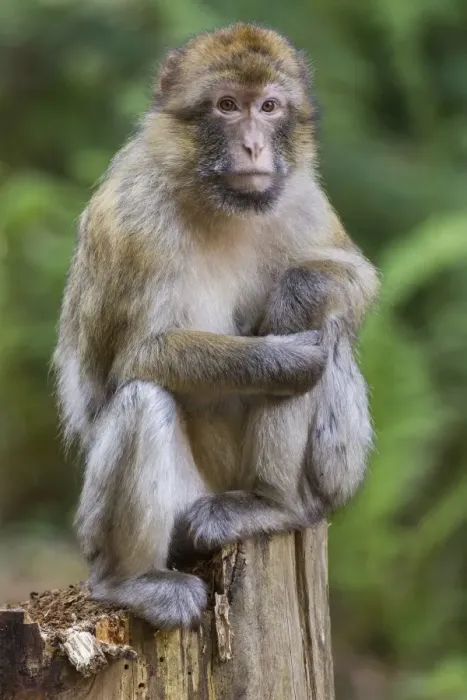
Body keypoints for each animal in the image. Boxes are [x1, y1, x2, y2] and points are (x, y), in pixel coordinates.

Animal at [53, 23, 379, 629]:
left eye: (268, 107)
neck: (220, 203)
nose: (252, 146)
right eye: (227, 106)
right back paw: (128, 582)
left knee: (330, 331)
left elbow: (356, 278)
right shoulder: (133, 221)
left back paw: (272, 505)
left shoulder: (300, 194)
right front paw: (282, 357)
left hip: (323, 476)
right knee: (143, 400)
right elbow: (132, 360)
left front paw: (295, 295)